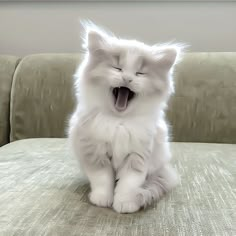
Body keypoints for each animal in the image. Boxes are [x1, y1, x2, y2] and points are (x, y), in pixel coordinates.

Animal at [68, 22, 183, 214]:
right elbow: (102, 179)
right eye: (117, 68)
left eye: (140, 73)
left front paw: (125, 204)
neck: (119, 122)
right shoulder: (95, 152)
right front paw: (102, 200)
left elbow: (129, 183)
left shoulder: (137, 155)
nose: (127, 78)